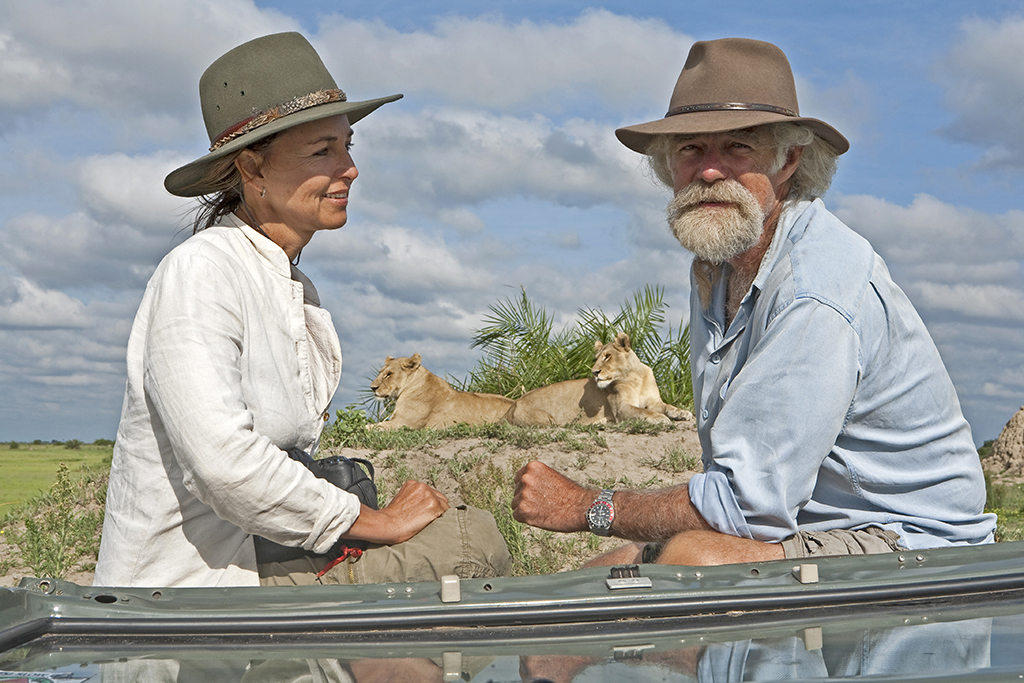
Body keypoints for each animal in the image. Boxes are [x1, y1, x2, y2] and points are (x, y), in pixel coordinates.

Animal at [503, 331, 688, 428]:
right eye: (596, 358)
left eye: (607, 356)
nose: (594, 372)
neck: (637, 377)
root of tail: (511, 406)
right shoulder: (621, 408)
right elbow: (643, 412)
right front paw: (660, 418)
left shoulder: (655, 402)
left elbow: (668, 406)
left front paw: (682, 413)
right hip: (546, 420)